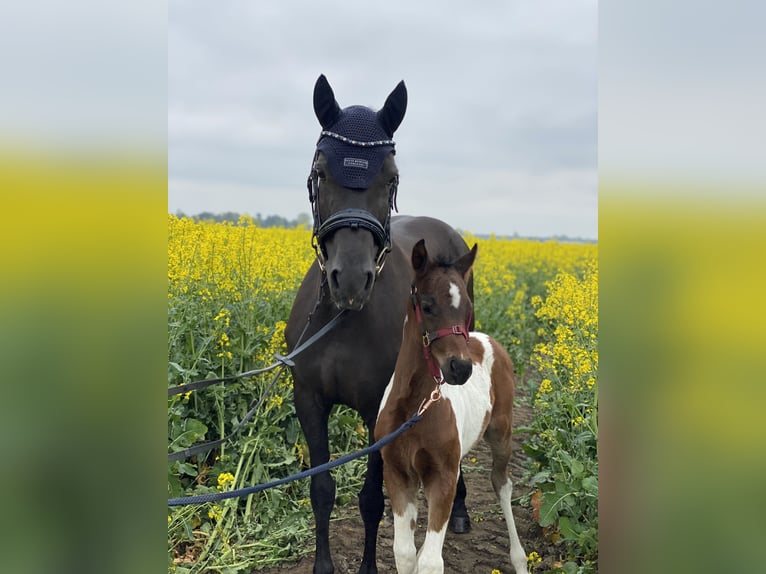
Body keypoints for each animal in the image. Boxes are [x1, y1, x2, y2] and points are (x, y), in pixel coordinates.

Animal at [285, 75, 474, 574]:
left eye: (391, 177)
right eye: (320, 172)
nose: (351, 279)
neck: (343, 319)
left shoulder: (377, 411)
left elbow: (371, 500)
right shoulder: (308, 400)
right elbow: (322, 489)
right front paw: (323, 567)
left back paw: (461, 508)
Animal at [375, 240, 529, 574]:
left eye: (467, 308)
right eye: (427, 305)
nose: (460, 368)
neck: (415, 407)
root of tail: (486, 339)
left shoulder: (441, 476)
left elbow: (431, 562)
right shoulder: (397, 473)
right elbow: (405, 553)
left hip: (501, 433)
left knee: (502, 484)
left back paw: (520, 560)